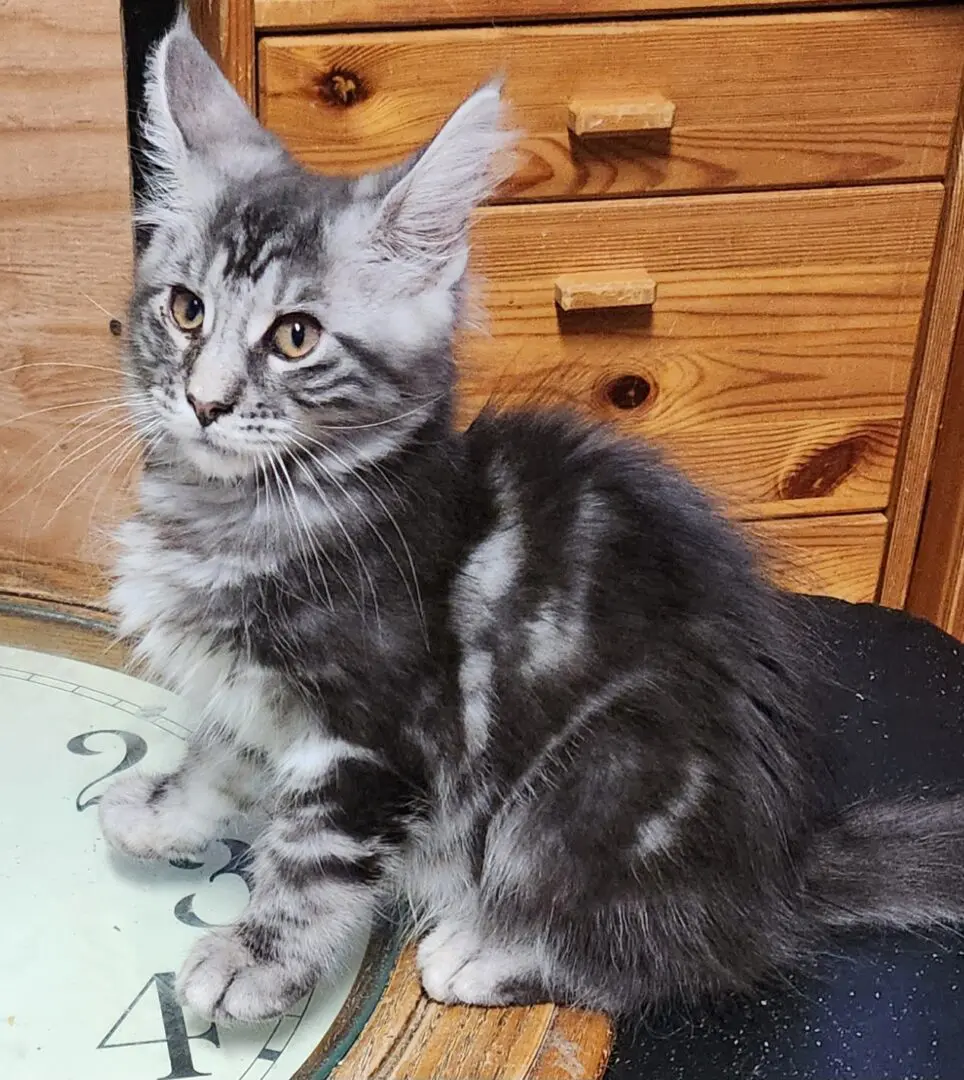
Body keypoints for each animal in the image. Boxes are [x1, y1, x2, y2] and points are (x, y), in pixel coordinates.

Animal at [99, 19, 964, 1028]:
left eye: (295, 337)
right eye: (185, 311)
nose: (203, 403)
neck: (248, 511)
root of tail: (776, 872)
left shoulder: (376, 736)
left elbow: (312, 861)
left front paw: (253, 960)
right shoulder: (250, 693)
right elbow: (222, 754)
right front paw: (165, 807)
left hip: (596, 783)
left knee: (676, 957)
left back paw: (486, 952)